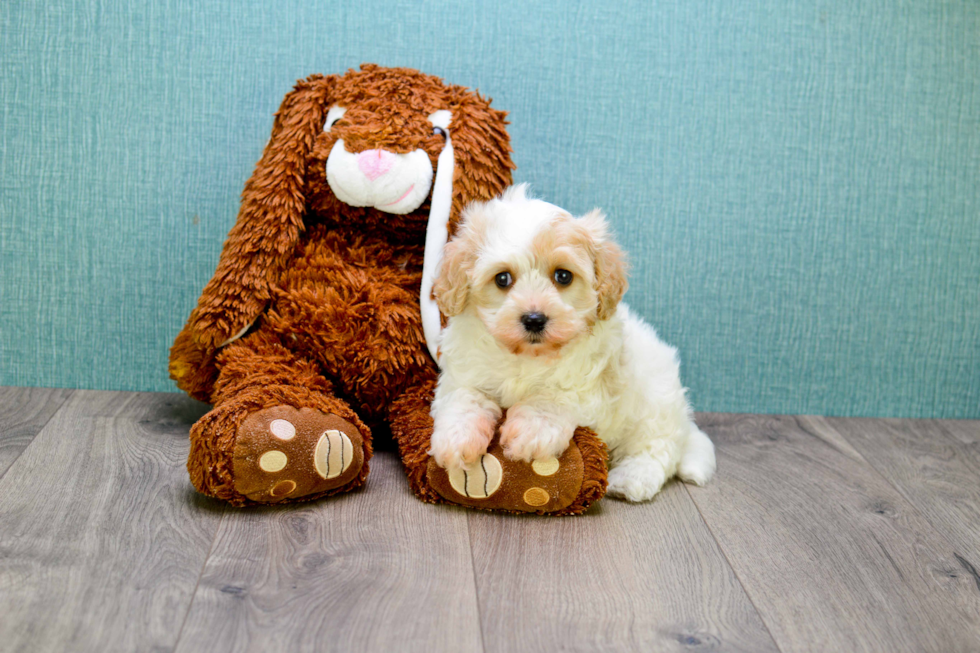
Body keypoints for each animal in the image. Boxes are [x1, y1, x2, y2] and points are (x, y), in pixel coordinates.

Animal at [426, 186, 712, 502]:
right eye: (502, 279)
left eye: (563, 276)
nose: (534, 319)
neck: (528, 356)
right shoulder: (463, 372)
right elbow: (465, 397)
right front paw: (456, 439)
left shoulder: (593, 383)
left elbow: (555, 395)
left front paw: (532, 430)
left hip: (654, 405)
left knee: (657, 448)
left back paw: (632, 478)